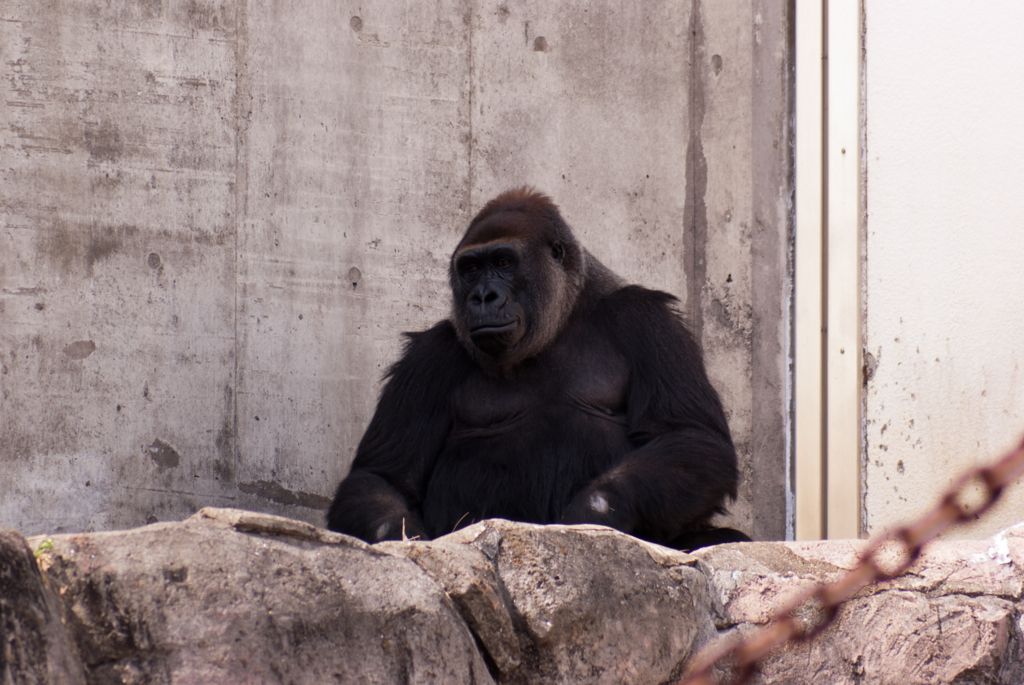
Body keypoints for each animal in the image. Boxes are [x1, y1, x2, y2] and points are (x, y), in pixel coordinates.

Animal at [329, 187, 753, 548]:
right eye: (471, 269)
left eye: (503, 262)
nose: (483, 297)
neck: (563, 316)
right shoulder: (430, 357)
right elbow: (384, 477)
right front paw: (404, 536)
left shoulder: (648, 321)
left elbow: (691, 435)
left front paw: (594, 511)